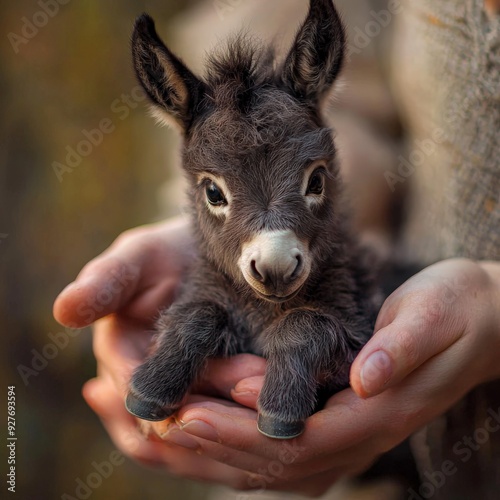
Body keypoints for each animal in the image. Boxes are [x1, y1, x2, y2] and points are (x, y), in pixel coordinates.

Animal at [126, 0, 378, 438]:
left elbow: (306, 322)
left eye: (316, 180)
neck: (263, 312)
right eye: (213, 192)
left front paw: (281, 409)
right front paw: (152, 389)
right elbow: (198, 311)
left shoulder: (357, 335)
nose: (276, 269)